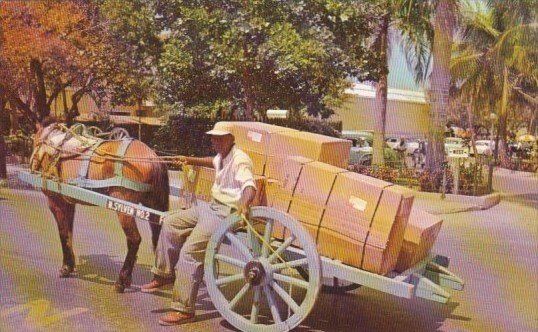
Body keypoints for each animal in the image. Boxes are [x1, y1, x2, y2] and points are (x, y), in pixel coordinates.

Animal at [30, 121, 169, 290]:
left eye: (34, 142)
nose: (32, 163)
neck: (52, 146)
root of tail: (153, 158)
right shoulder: (69, 203)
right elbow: (69, 232)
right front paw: (70, 265)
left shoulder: (55, 201)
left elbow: (63, 233)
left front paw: (65, 267)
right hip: (153, 205)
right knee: (157, 237)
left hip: (124, 207)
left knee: (134, 239)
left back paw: (122, 280)